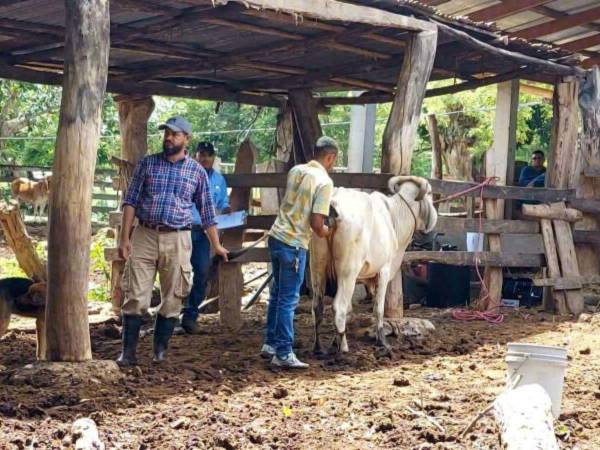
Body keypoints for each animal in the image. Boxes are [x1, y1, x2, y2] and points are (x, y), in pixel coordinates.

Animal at [310, 176, 436, 356]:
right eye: (431, 193)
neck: (393, 217)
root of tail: (333, 203)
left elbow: (351, 311)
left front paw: (334, 342)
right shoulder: (383, 271)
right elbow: (378, 308)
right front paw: (382, 341)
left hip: (317, 267)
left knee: (317, 307)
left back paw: (319, 348)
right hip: (348, 273)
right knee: (339, 308)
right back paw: (343, 350)